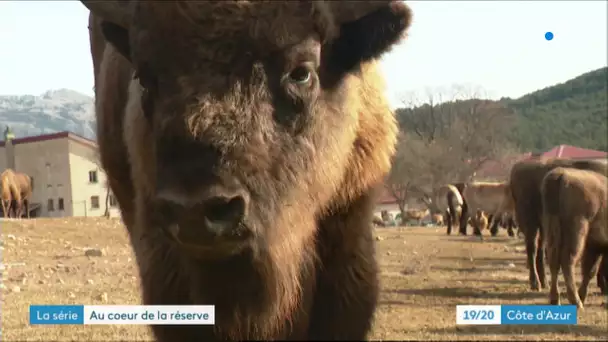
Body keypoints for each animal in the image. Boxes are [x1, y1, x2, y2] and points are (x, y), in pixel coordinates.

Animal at [510, 158, 604, 292]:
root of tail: (518, 167)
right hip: (530, 221)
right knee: (532, 248)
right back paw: (535, 283)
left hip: (543, 226)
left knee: (541, 249)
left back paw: (544, 282)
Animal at [540, 167, 608, 308]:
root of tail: (561, 174)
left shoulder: (595, 245)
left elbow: (589, 270)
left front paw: (583, 295)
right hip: (577, 230)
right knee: (567, 260)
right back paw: (576, 301)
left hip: (551, 227)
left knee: (554, 260)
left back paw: (556, 300)